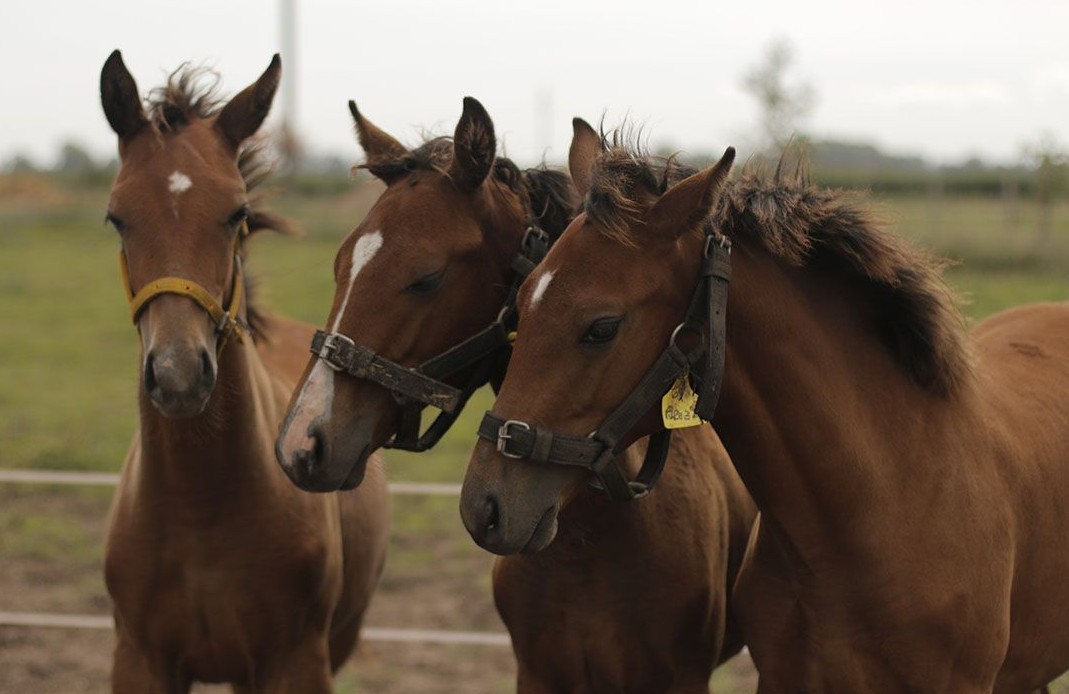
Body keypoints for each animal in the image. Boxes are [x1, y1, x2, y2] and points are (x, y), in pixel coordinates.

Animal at [99, 51, 390, 693]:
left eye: (237, 213)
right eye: (115, 218)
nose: (179, 375)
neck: (199, 504)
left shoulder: (297, 661)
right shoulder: (140, 659)